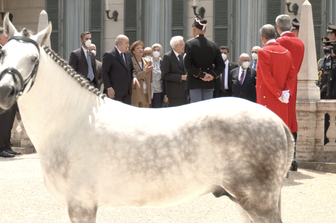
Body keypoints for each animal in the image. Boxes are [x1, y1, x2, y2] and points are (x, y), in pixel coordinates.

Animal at [0, 14, 292, 223]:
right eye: (2, 53)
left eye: (33, 58)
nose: (5, 91)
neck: (71, 120)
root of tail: (276, 121)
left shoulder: (81, 204)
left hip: (258, 202)